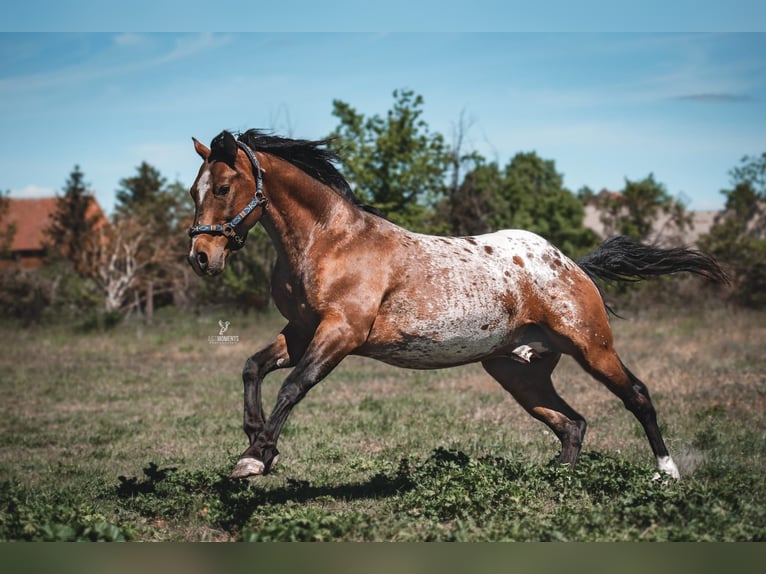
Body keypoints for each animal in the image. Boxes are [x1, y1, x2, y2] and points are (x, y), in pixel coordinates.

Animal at [186, 129, 728, 482]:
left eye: (223, 187)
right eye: (194, 190)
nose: (201, 256)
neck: (330, 242)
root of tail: (573, 265)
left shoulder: (340, 332)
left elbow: (293, 387)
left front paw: (256, 457)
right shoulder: (301, 330)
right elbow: (253, 368)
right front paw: (256, 442)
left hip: (591, 348)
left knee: (636, 395)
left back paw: (666, 473)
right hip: (517, 370)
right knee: (571, 424)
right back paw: (555, 481)